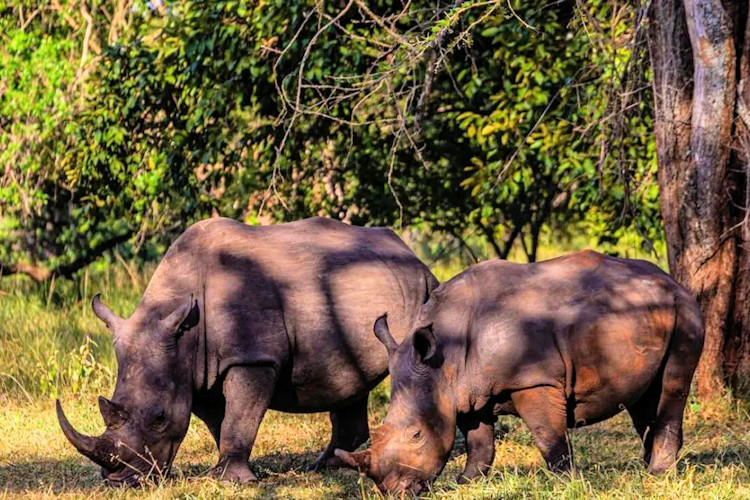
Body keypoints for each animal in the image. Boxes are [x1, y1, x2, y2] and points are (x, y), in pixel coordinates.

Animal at [55, 217, 438, 486]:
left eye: (158, 417)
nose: (120, 482)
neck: (185, 331)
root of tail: (414, 256)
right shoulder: (196, 369)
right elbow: (220, 419)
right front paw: (224, 471)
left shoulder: (251, 358)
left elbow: (239, 415)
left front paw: (228, 479)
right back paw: (323, 466)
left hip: (422, 292)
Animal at [338, 252, 708, 494]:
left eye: (416, 435)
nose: (393, 491)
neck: (446, 356)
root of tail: (674, 283)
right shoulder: (467, 390)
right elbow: (479, 441)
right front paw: (466, 483)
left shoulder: (533, 380)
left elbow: (547, 435)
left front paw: (565, 483)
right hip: (645, 316)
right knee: (643, 400)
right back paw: (648, 471)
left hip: (685, 313)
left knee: (672, 387)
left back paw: (659, 475)